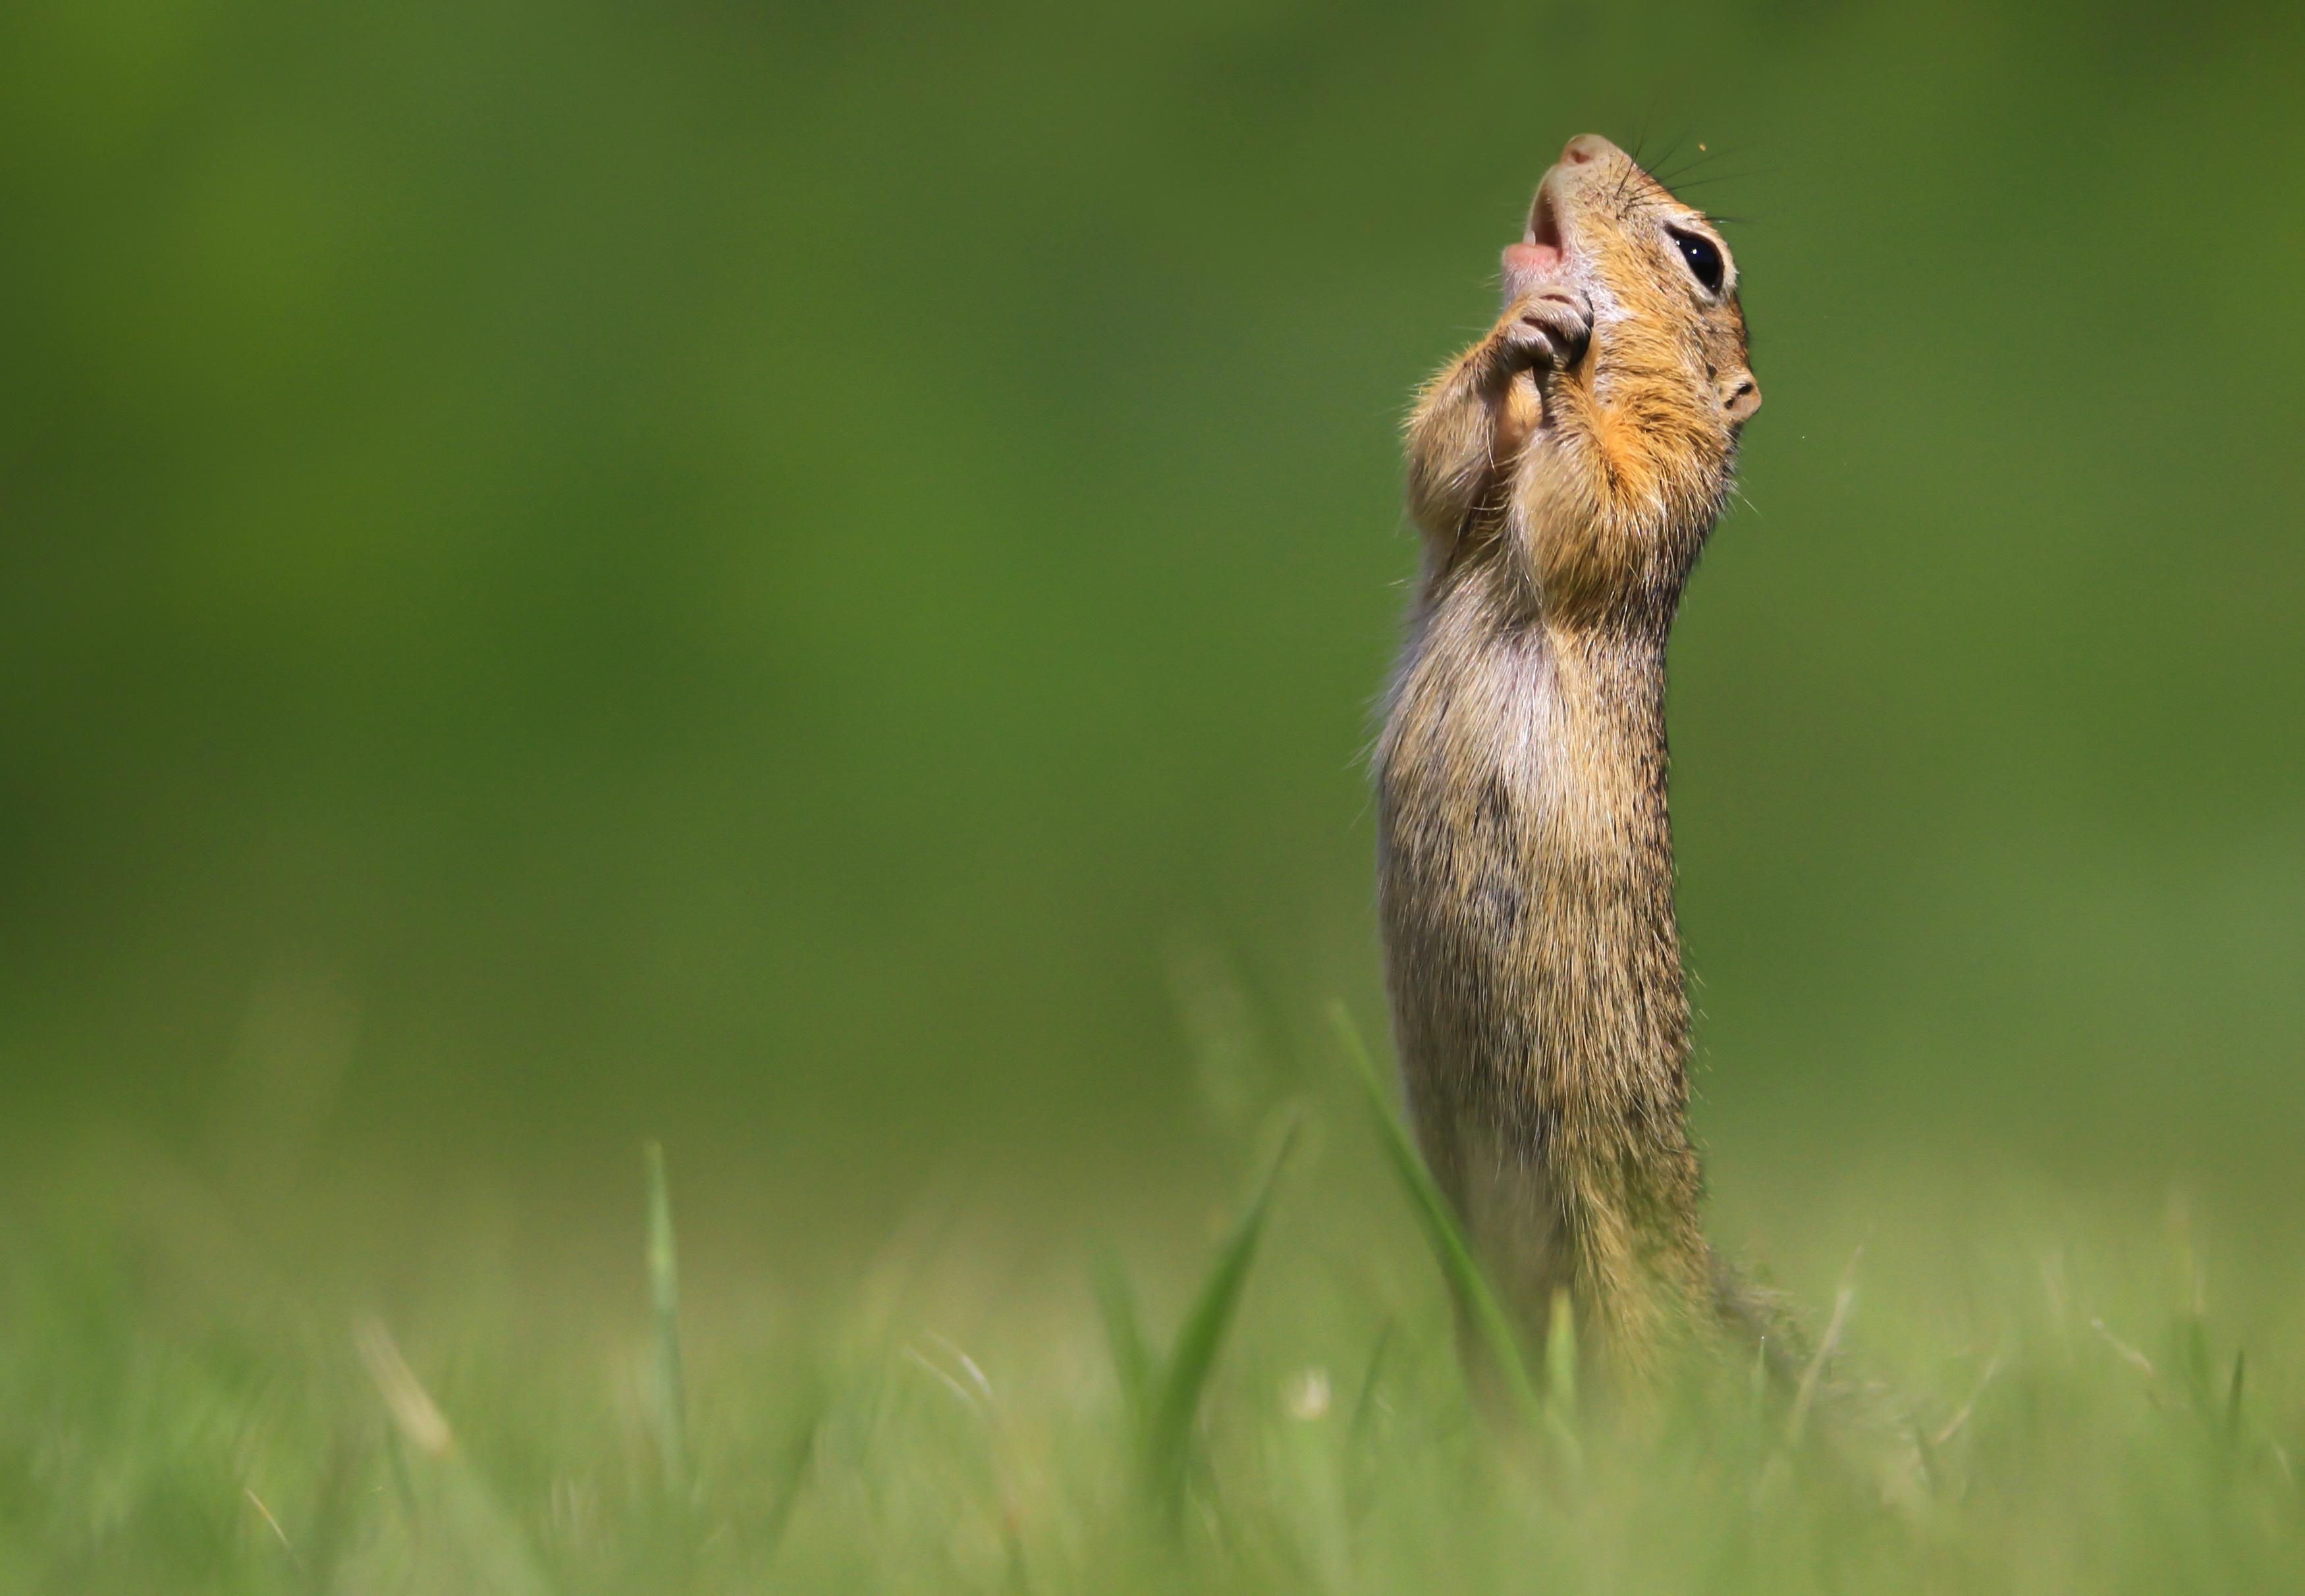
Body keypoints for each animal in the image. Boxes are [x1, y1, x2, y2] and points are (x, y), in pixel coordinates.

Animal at [1374, 130, 1770, 1391]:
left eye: (1703, 257)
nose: (1580, 142)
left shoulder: (1663, 477)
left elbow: (1596, 503)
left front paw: (1559, 349)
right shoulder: (1458, 512)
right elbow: (1441, 463)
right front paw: (1518, 337)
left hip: (1621, 1275)